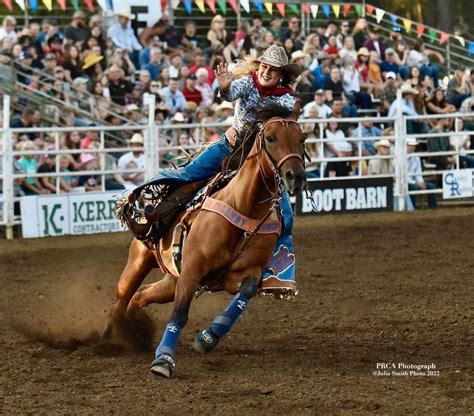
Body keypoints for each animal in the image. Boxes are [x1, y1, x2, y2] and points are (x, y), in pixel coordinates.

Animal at [103, 101, 308, 376]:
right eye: (271, 138)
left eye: (302, 139)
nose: (296, 177)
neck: (243, 206)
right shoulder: (192, 269)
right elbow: (180, 314)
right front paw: (163, 360)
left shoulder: (244, 274)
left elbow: (245, 295)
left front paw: (208, 337)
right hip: (139, 261)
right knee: (122, 298)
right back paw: (107, 339)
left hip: (171, 280)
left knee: (141, 296)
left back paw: (132, 331)